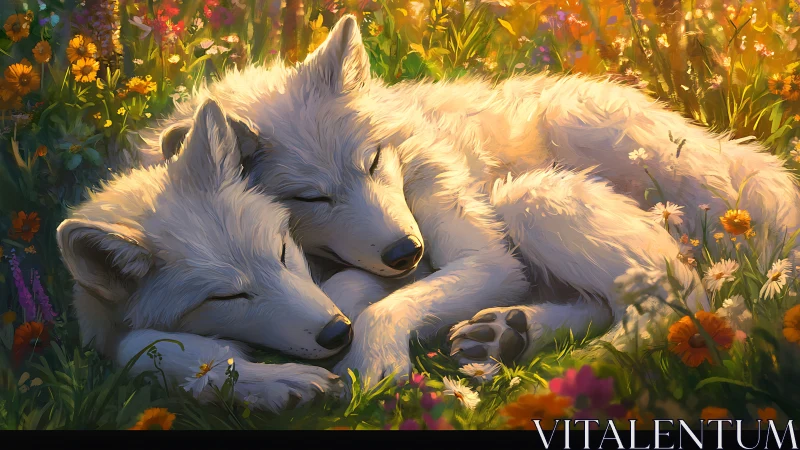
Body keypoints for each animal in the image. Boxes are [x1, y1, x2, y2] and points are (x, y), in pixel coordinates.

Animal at [139, 15, 800, 387]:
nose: (406, 254)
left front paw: (371, 363)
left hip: (533, 197)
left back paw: (570, 372)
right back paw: (509, 336)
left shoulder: (486, 259)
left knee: (683, 301)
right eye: (312, 196)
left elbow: (379, 305)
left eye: (373, 161)